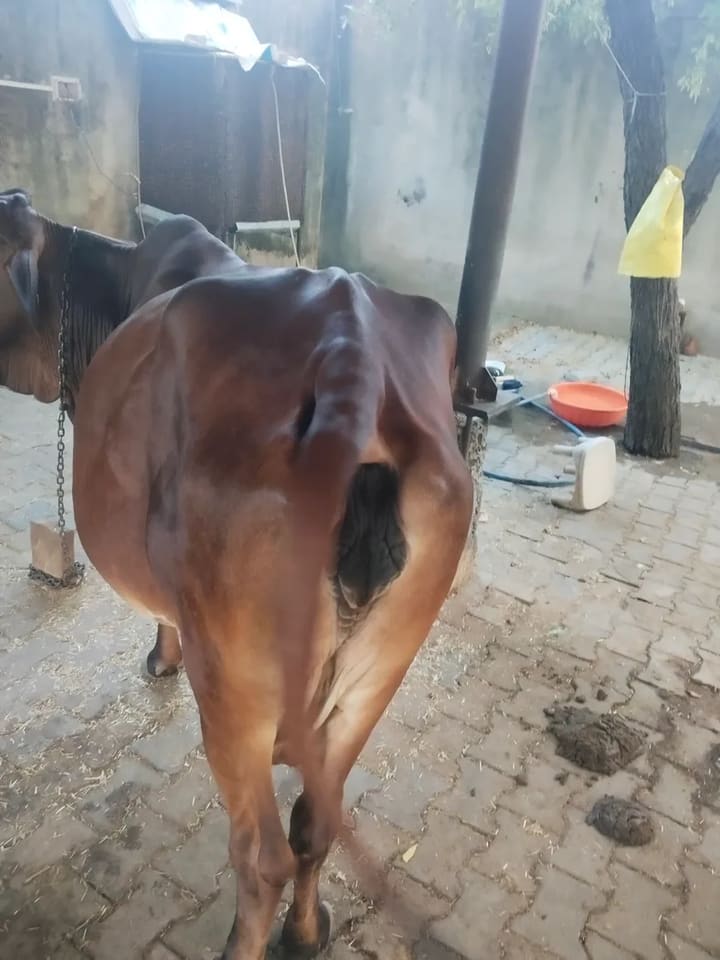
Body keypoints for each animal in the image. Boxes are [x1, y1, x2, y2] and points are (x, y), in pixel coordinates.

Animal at [0, 189, 473, 959]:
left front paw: (159, 658)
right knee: (316, 826)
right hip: (379, 673)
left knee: (262, 857)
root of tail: (351, 360)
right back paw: (307, 933)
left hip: (234, 688)